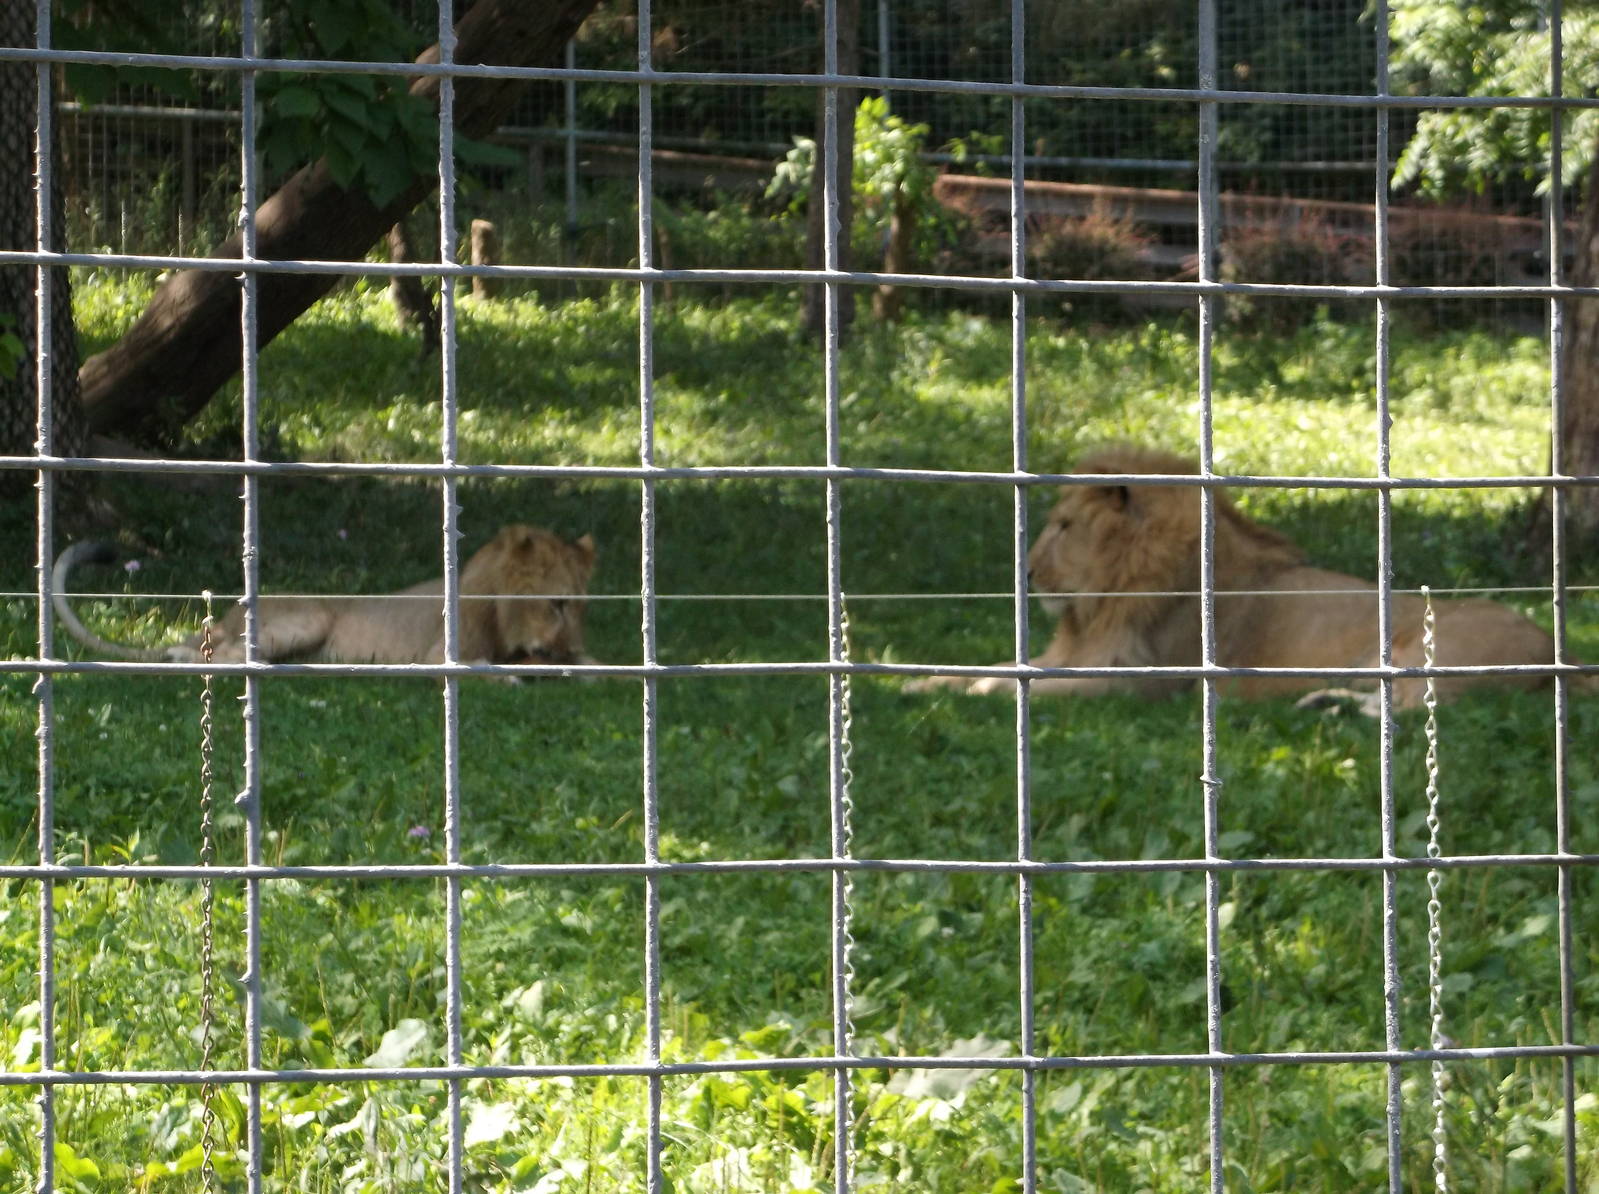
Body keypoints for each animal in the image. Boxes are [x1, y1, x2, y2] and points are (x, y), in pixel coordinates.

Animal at [52, 524, 596, 672]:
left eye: (581, 606)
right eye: (556, 602)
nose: (569, 647)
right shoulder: (437, 657)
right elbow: (488, 668)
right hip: (306, 618)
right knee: (220, 653)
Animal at [912, 445, 1572, 711]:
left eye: (1064, 526)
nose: (1025, 573)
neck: (1104, 600)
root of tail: (1552, 646)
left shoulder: (1139, 682)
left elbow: (1014, 685)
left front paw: (977, 692)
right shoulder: (1076, 655)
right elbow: (996, 667)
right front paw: (922, 683)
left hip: (1421, 652)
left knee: (1411, 709)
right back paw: (1320, 702)